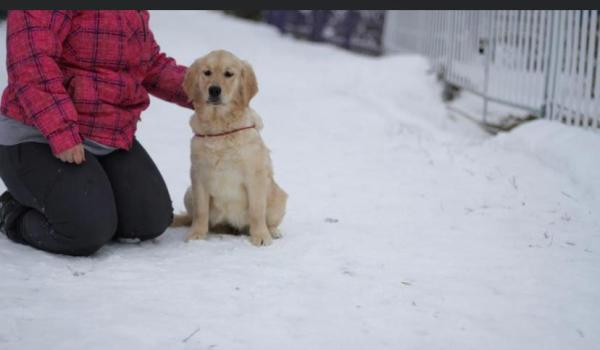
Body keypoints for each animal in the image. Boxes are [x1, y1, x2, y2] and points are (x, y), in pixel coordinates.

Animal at [171, 50, 288, 246]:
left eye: (229, 74)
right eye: (207, 72)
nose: (214, 90)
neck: (220, 127)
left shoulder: (255, 175)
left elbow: (257, 211)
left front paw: (261, 236)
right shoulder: (198, 174)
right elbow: (201, 211)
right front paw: (197, 235)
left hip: (279, 196)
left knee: (269, 218)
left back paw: (272, 231)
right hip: (189, 193)